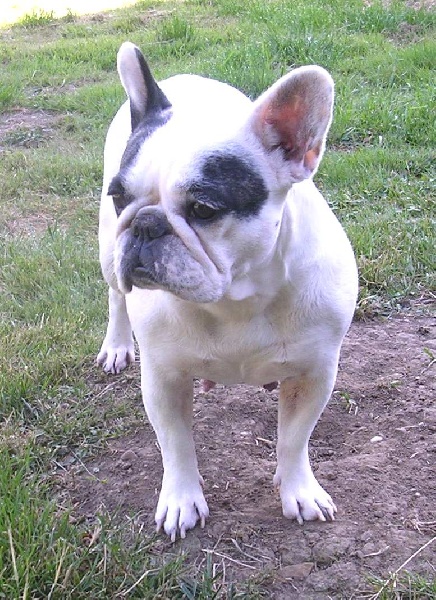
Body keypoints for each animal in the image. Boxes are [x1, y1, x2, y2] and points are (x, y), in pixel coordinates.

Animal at [97, 42, 358, 542]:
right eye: (119, 198)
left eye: (203, 209)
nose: (145, 223)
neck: (235, 298)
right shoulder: (164, 378)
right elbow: (176, 444)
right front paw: (182, 500)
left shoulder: (314, 373)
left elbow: (294, 439)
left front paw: (298, 490)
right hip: (106, 252)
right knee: (116, 298)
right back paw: (116, 346)